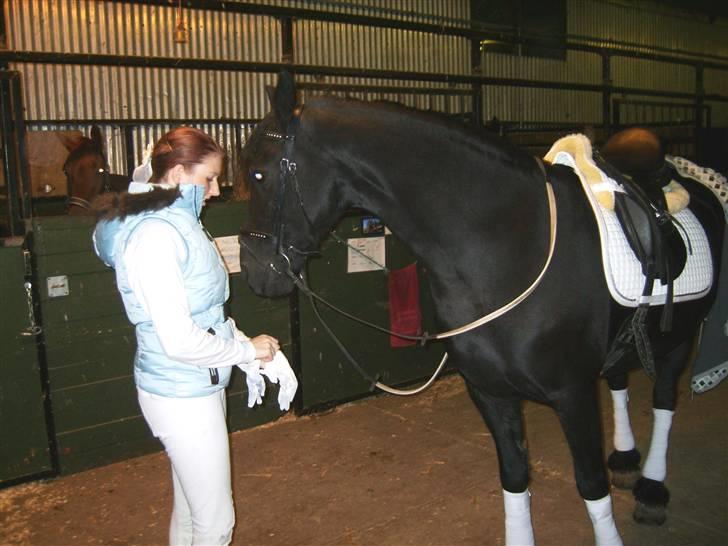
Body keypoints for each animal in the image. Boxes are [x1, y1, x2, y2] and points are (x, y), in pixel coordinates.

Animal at [237, 73, 724, 544]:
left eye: (260, 174)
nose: (255, 272)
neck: (508, 242)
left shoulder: (573, 393)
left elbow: (590, 485)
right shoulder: (490, 392)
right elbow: (514, 480)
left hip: (678, 338)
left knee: (664, 400)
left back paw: (652, 489)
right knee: (621, 380)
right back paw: (625, 458)